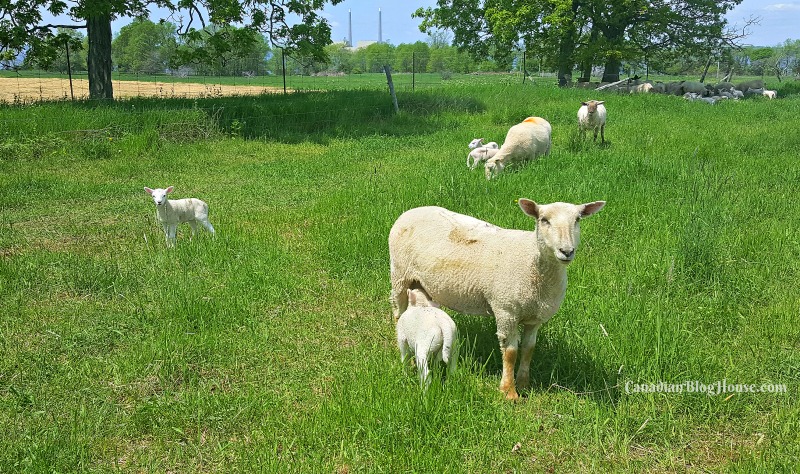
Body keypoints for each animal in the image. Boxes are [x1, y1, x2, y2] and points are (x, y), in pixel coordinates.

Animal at [390, 197, 608, 400]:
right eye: (544, 220)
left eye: (577, 219)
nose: (567, 251)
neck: (533, 264)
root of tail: (413, 210)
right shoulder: (506, 310)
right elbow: (510, 353)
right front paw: (509, 391)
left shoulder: (535, 318)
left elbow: (528, 349)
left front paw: (524, 384)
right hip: (399, 274)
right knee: (398, 313)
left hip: (420, 283)